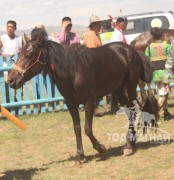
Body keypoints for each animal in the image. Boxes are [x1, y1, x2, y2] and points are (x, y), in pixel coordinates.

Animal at [7, 28, 155, 164]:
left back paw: (129, 145)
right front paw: (79, 155)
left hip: (130, 86)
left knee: (133, 110)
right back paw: (130, 143)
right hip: (118, 90)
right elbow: (77, 128)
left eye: (28, 54)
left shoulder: (90, 101)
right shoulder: (71, 103)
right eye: (18, 54)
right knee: (130, 111)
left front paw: (100, 147)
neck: (71, 71)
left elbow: (87, 128)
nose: (11, 80)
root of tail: (132, 50)